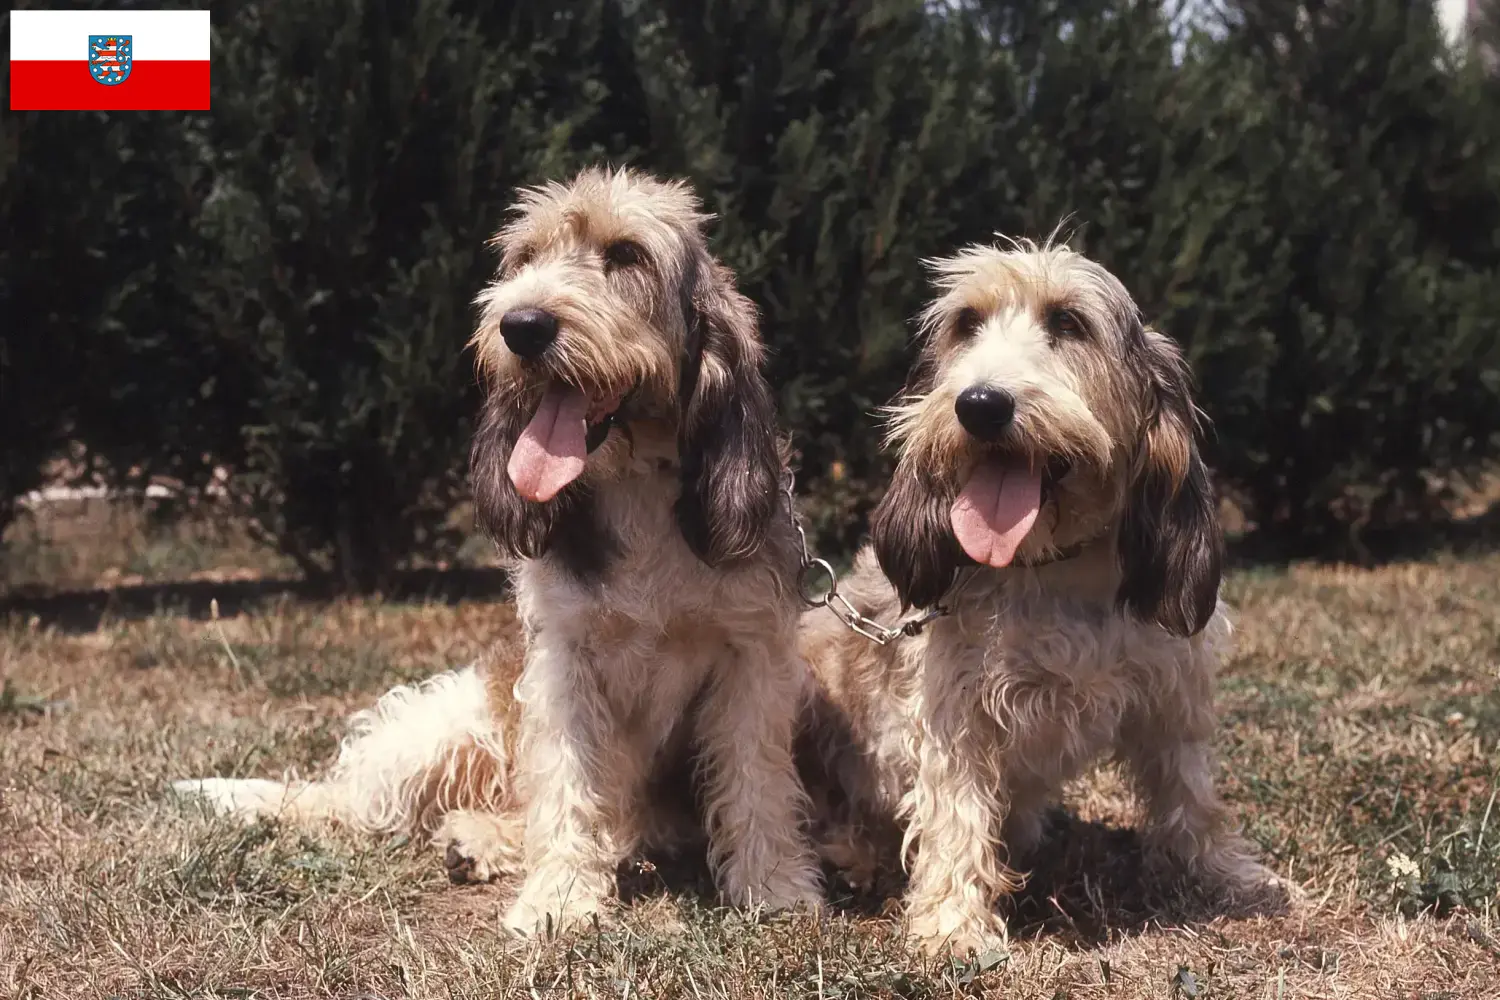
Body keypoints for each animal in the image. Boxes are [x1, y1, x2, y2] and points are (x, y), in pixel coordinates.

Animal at [181, 164, 828, 941]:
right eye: (523, 260)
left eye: (626, 255)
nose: (520, 327)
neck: (637, 489)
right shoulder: (563, 663)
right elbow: (568, 782)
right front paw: (560, 898)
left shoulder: (751, 658)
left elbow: (756, 777)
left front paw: (773, 884)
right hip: (441, 726)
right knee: (355, 798)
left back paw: (479, 841)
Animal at [798, 238, 1278, 959]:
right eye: (966, 323)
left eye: (1070, 323)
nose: (979, 405)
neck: (1052, 569)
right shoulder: (953, 709)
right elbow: (956, 810)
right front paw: (954, 926)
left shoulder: (1173, 692)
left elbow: (1191, 793)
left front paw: (1228, 874)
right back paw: (853, 852)